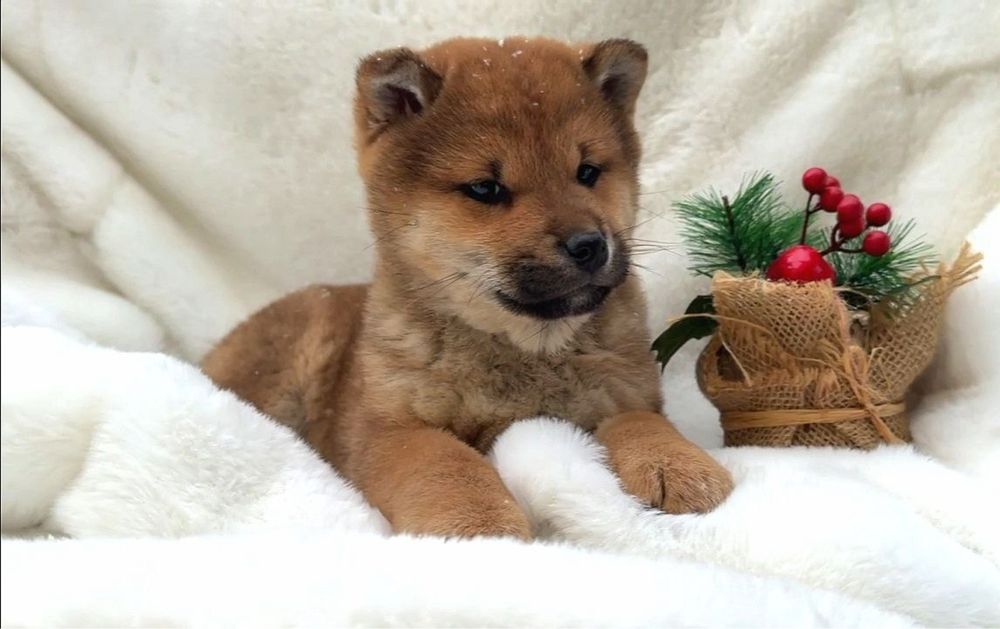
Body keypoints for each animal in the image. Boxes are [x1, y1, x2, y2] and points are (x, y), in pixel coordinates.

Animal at [202, 37, 734, 539]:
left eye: (587, 172)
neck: (522, 350)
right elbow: (446, 464)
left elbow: (643, 422)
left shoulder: (625, 395)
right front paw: (477, 523)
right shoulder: (389, 429)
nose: (589, 245)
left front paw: (678, 465)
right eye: (485, 188)